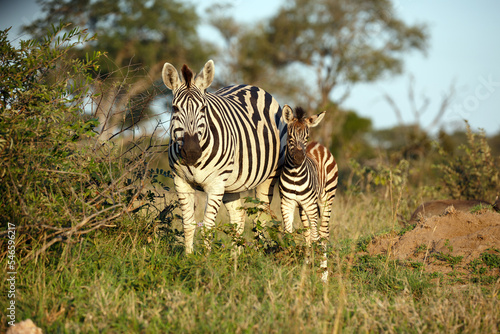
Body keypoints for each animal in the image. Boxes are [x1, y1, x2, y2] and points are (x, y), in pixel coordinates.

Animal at [280, 105, 338, 282]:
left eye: (306, 136)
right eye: (290, 135)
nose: (299, 158)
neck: (295, 174)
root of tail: (318, 145)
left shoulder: (311, 205)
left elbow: (315, 236)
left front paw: (319, 273)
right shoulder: (287, 202)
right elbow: (289, 233)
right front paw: (289, 268)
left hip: (325, 200)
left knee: (322, 233)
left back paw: (324, 273)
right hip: (302, 207)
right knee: (307, 231)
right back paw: (306, 264)